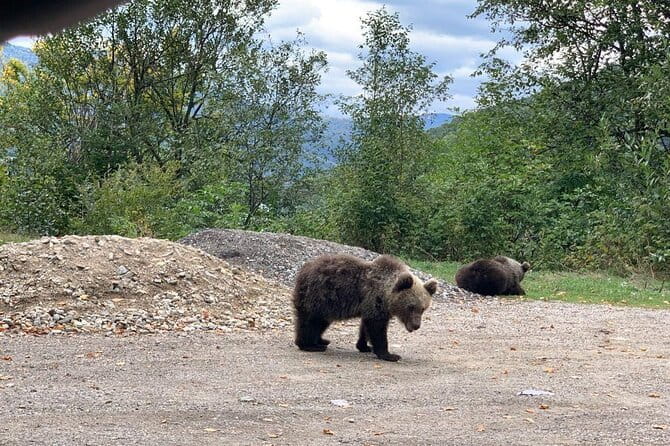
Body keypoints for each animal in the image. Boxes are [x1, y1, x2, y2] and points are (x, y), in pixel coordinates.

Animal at [292, 254, 438, 362]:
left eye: (423, 308)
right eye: (410, 307)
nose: (416, 325)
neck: (386, 295)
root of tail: (303, 270)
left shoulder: (371, 306)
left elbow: (366, 327)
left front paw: (364, 346)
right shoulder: (375, 301)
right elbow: (377, 329)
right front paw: (390, 355)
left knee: (321, 322)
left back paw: (321, 341)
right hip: (319, 297)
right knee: (310, 322)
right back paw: (309, 345)